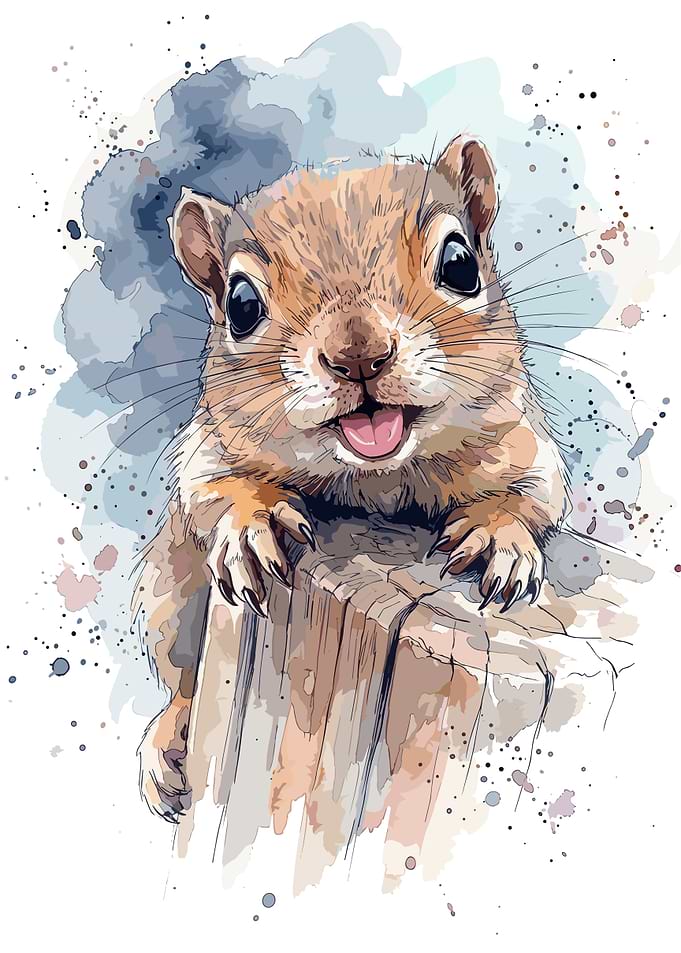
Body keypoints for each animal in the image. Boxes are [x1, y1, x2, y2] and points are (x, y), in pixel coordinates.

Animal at [134, 136, 569, 820]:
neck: (376, 476)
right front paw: (254, 524)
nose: (358, 354)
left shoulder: (523, 443)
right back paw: (168, 744)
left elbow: (535, 497)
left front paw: (498, 537)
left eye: (460, 263)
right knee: (180, 682)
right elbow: (211, 487)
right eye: (240, 305)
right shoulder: (209, 445)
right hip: (168, 604)